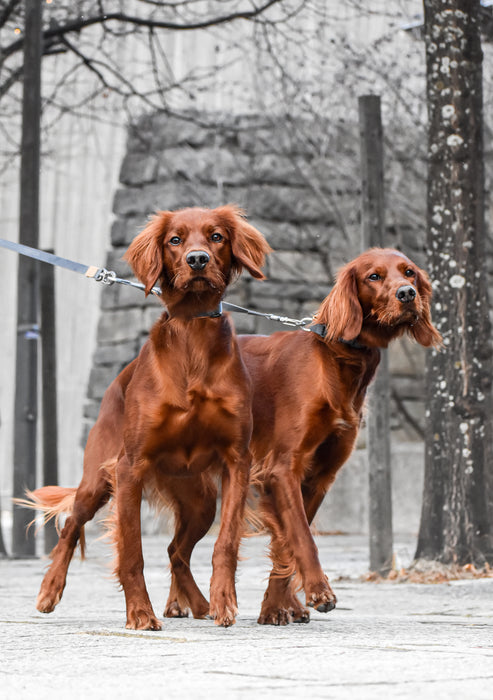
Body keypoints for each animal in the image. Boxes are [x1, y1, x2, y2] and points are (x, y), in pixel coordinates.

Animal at [20, 205, 270, 632]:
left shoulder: (237, 461)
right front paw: (139, 612)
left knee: (175, 551)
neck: (192, 333)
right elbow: (131, 552)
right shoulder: (130, 468)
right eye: (175, 239)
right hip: (97, 481)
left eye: (216, 236)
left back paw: (199, 603)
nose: (198, 260)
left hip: (201, 502)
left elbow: (225, 543)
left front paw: (224, 601)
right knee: (71, 527)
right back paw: (49, 591)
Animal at [237, 246, 438, 624]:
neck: (336, 361)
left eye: (409, 272)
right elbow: (303, 536)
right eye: (373, 276)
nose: (408, 294)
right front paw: (318, 591)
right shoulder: (282, 468)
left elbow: (286, 544)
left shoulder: (319, 477)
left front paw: (275, 606)